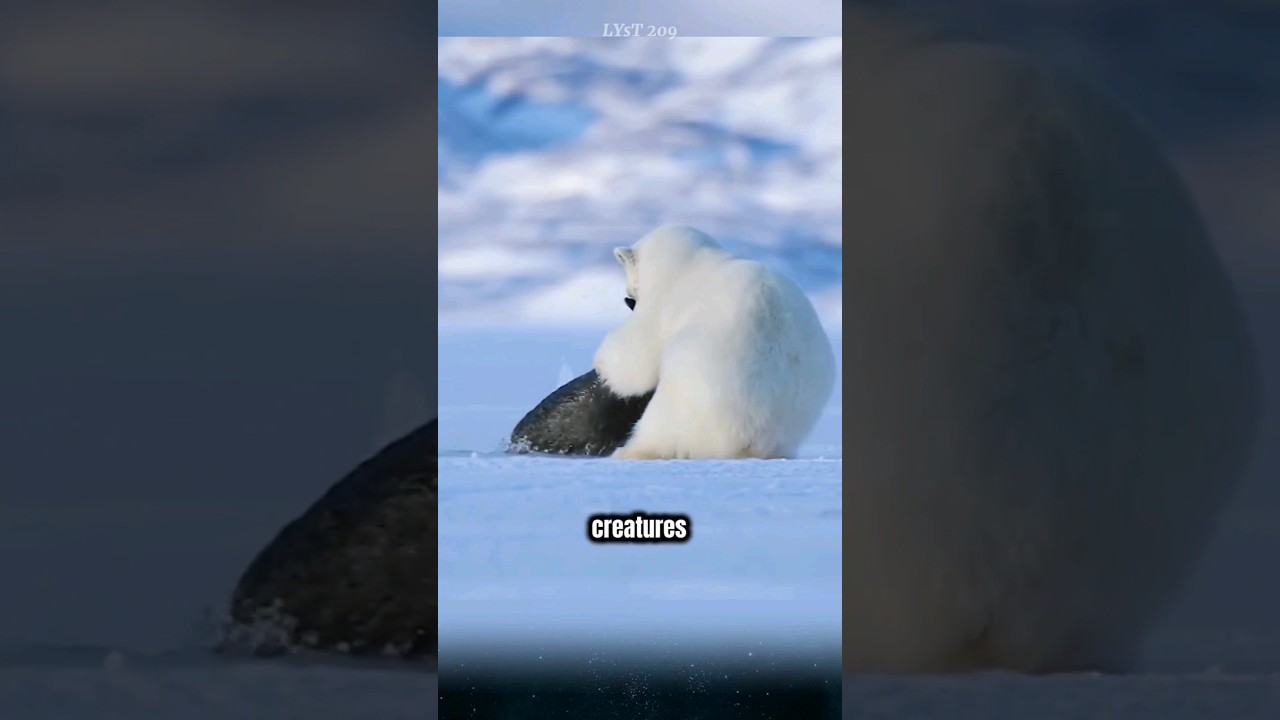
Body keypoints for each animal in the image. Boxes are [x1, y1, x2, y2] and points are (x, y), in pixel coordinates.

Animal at [592, 225, 837, 460]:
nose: (630, 298)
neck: (687, 262)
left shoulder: (664, 303)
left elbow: (638, 356)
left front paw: (601, 362)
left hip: (691, 394)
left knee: (664, 425)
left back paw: (632, 451)